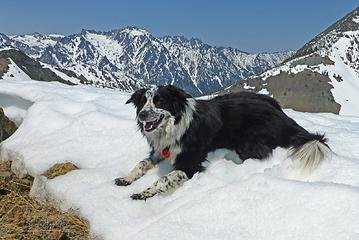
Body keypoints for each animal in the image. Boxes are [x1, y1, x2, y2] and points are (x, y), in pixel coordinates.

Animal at [114, 85, 330, 200]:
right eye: (143, 102)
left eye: (159, 101)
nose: (142, 115)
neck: (175, 125)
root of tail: (282, 115)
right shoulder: (160, 150)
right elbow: (141, 164)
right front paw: (126, 178)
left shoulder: (190, 165)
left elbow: (163, 179)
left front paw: (144, 193)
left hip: (248, 142)